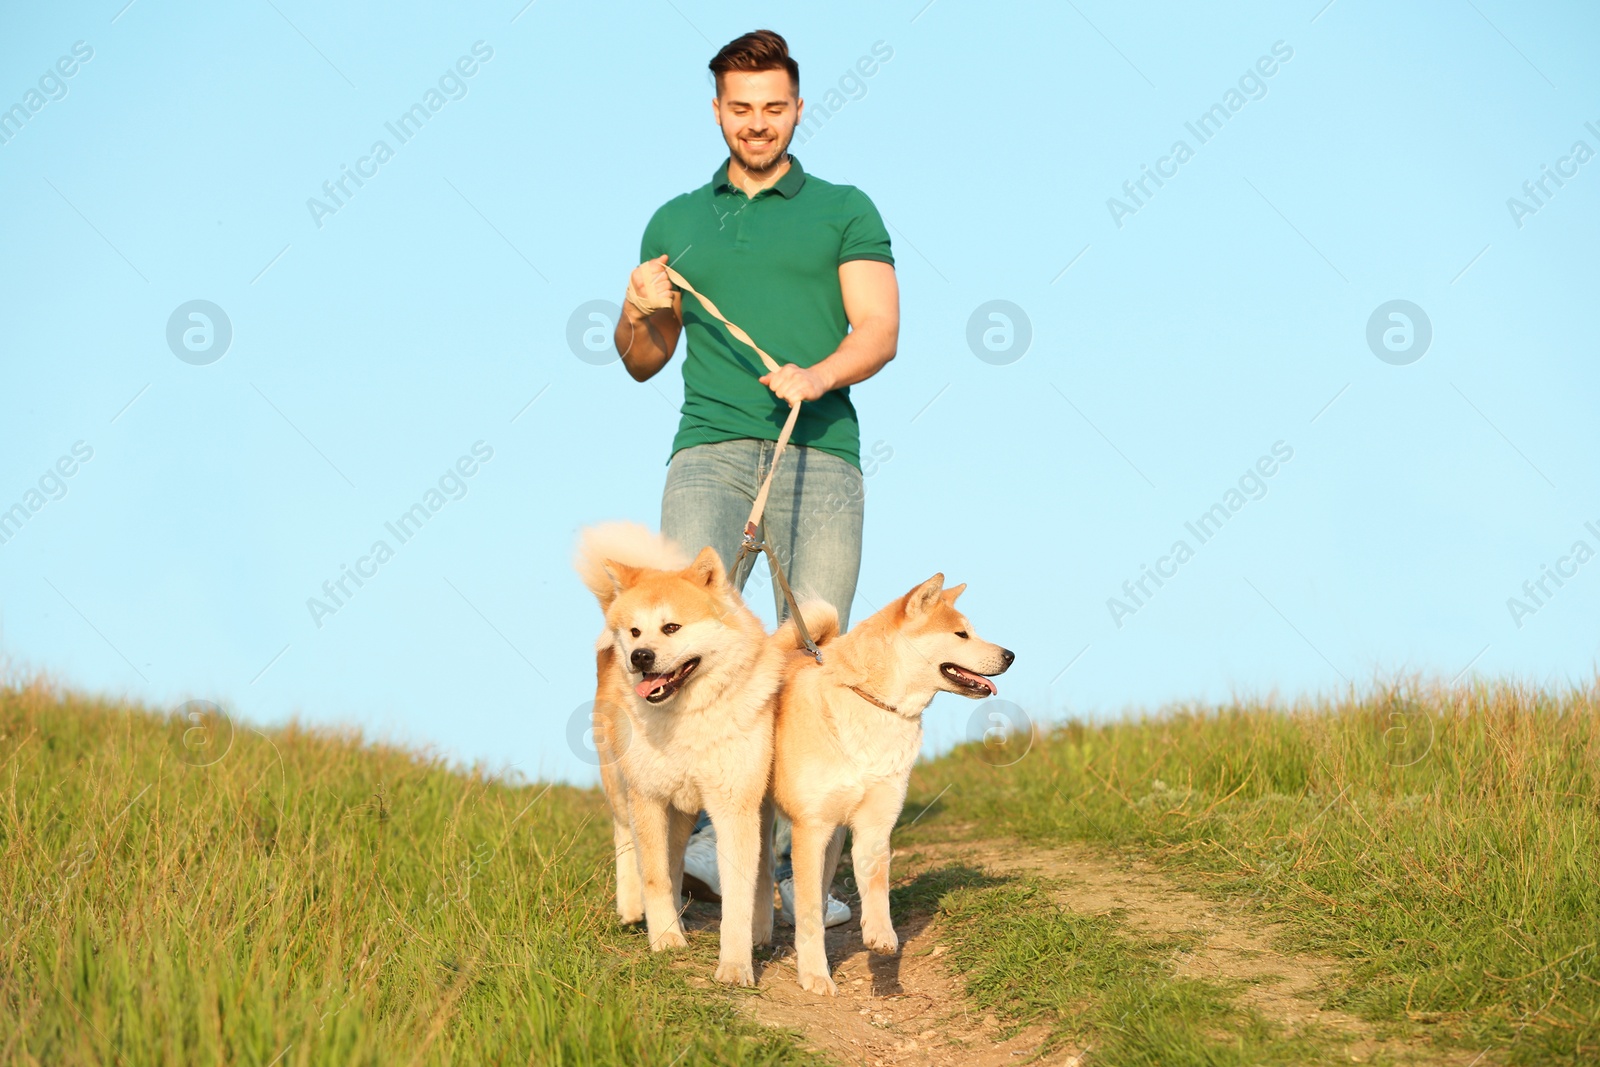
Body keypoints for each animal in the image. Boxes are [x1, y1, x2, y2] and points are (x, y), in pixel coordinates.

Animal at [576, 524, 780, 985]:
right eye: (635, 632)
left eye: (671, 627)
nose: (640, 657)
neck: (688, 719)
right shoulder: (648, 798)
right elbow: (652, 876)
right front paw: (666, 940)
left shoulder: (736, 807)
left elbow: (738, 893)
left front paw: (736, 964)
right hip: (624, 789)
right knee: (628, 841)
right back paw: (634, 910)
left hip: (700, 811)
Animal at [764, 572, 1011, 998]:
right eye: (961, 634)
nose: (1011, 655)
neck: (873, 704)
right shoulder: (810, 828)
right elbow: (809, 908)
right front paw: (814, 974)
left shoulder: (874, 827)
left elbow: (877, 886)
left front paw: (880, 935)